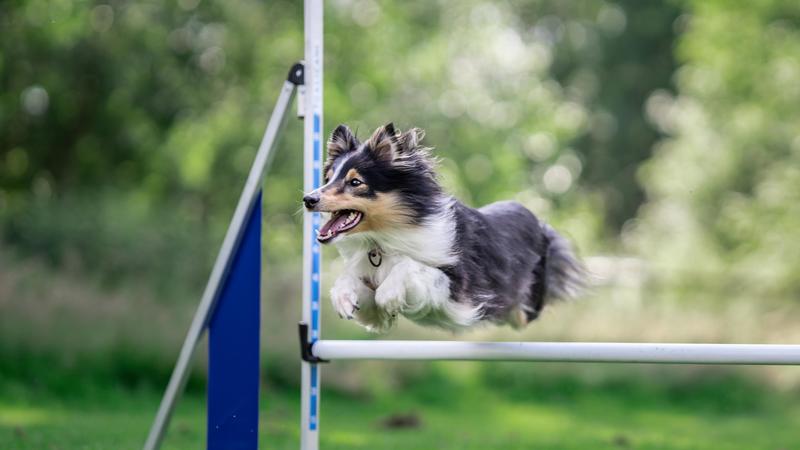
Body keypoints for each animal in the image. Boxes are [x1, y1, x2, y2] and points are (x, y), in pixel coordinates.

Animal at [302, 125, 580, 332]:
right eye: (328, 178)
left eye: (355, 182)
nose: (308, 199)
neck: (383, 238)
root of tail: (540, 224)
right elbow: (349, 280)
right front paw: (344, 300)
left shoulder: (457, 287)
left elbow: (410, 266)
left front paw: (389, 297)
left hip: (523, 306)